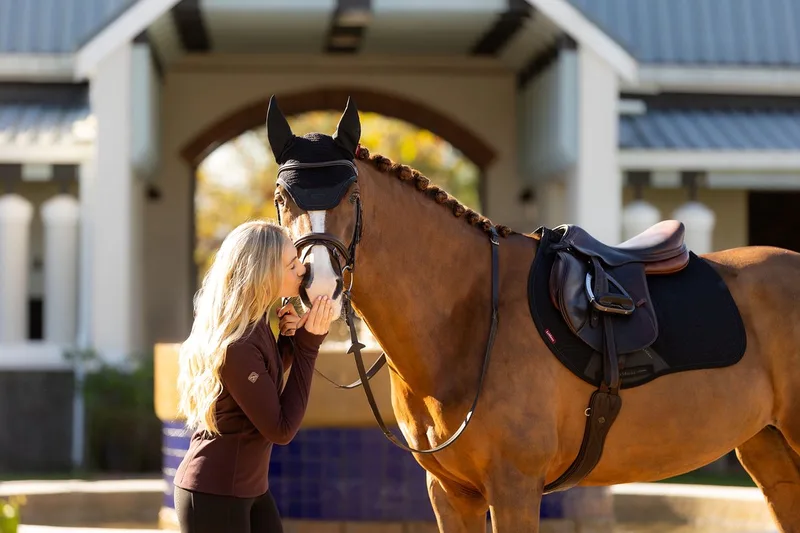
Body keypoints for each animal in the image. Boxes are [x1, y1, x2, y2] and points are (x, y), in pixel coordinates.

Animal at [266, 95, 800, 533]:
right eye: (281, 198)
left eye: (352, 197)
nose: (318, 285)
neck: (471, 316)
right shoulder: (451, 495)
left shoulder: (514, 488)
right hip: (769, 451)